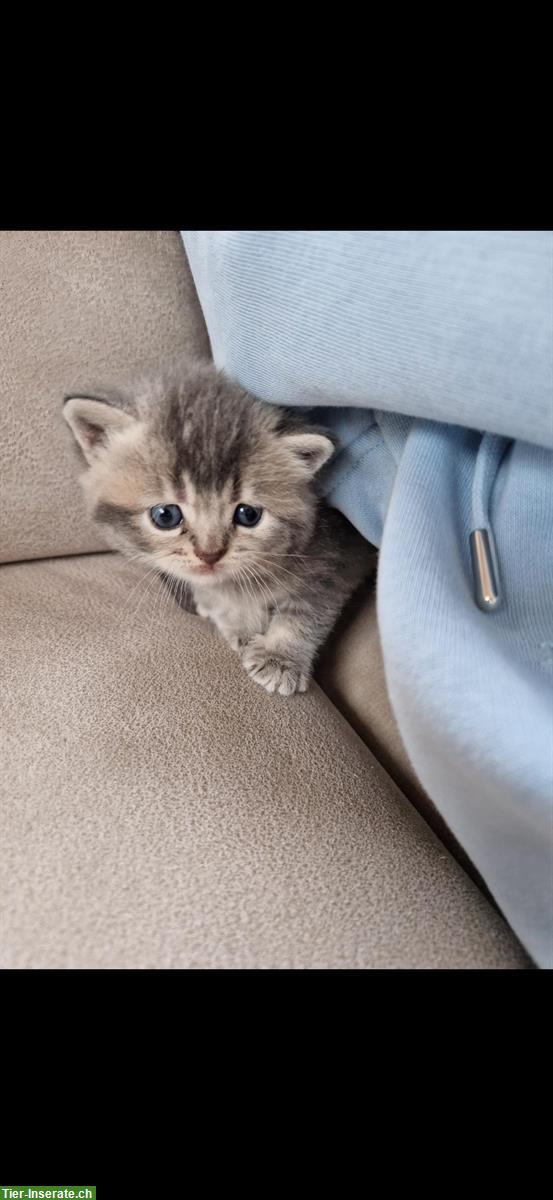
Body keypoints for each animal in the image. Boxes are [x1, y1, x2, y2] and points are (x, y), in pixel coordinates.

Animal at [63, 357, 374, 696]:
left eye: (248, 515)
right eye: (165, 515)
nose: (209, 554)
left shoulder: (340, 554)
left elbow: (308, 609)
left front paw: (281, 657)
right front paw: (238, 622)